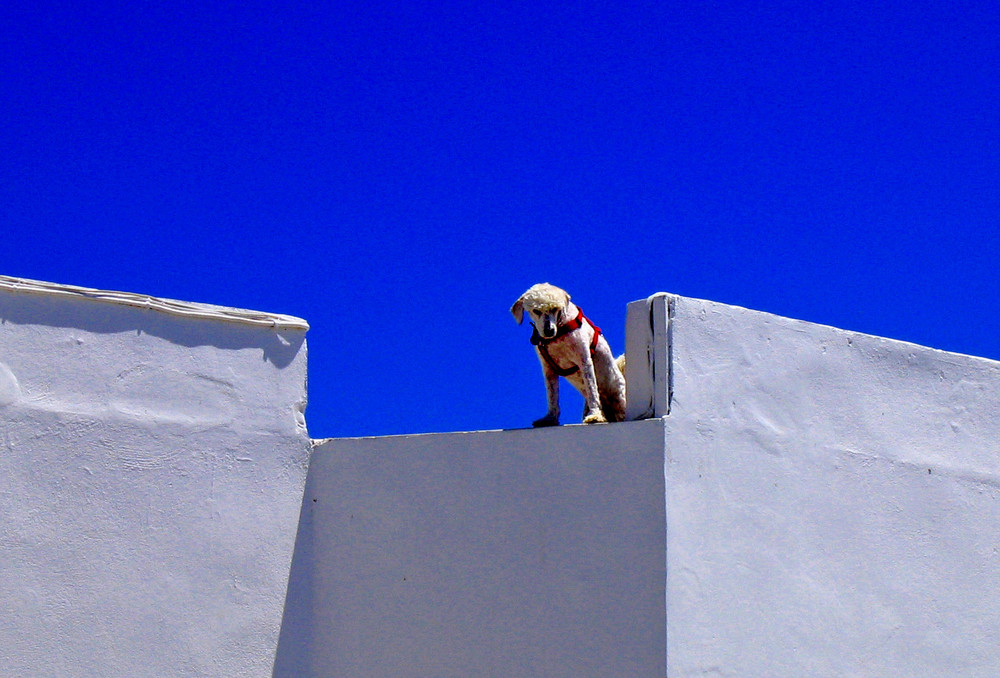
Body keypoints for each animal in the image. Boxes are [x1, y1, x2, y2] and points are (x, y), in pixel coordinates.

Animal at [508, 284, 624, 428]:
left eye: (555, 309)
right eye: (536, 310)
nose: (548, 330)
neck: (559, 331)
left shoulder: (584, 360)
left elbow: (592, 389)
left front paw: (595, 416)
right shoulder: (548, 369)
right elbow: (552, 395)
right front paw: (550, 418)